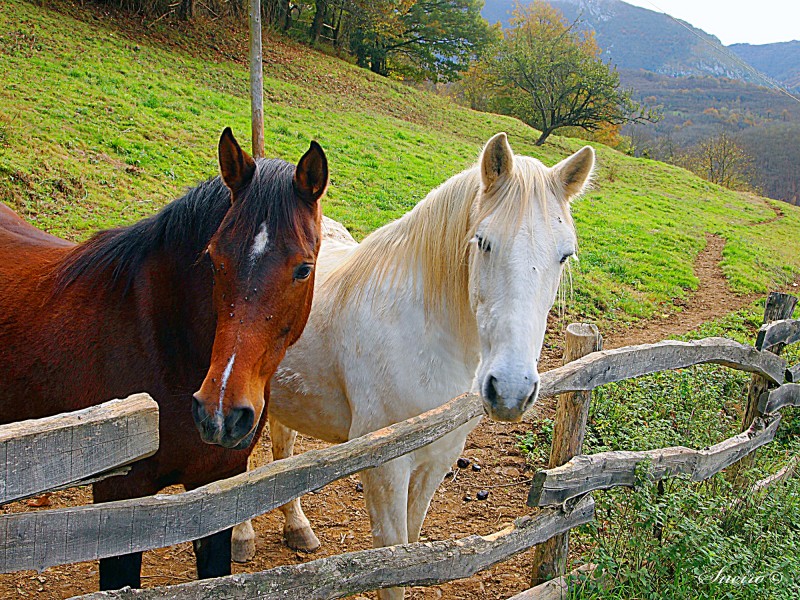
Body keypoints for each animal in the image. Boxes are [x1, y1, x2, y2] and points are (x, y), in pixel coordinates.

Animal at [0, 127, 328, 592]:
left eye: (303, 268)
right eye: (213, 258)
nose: (221, 414)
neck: (161, 341)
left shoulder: (217, 486)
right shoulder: (119, 503)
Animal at [231, 134, 592, 596]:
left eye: (564, 255)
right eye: (483, 241)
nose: (511, 390)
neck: (421, 334)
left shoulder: (438, 458)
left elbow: (414, 549)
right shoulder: (385, 468)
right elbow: (392, 564)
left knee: (282, 453)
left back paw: (298, 529)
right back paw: (242, 538)